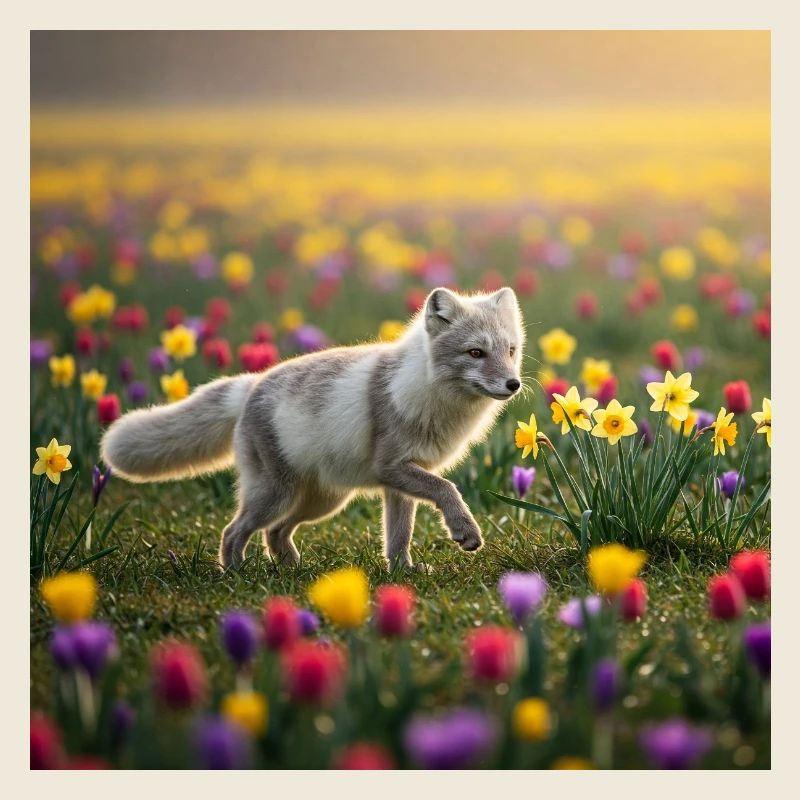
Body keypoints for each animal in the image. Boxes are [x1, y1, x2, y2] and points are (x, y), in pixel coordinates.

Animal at [101, 286, 525, 572]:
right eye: (475, 353)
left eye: (510, 351)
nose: (514, 385)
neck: (427, 389)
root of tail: (252, 384)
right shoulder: (394, 468)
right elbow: (447, 489)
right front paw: (464, 532)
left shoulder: (398, 483)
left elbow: (398, 536)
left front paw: (402, 573)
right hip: (276, 495)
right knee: (233, 531)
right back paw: (236, 574)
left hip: (322, 501)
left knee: (274, 533)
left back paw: (290, 569)